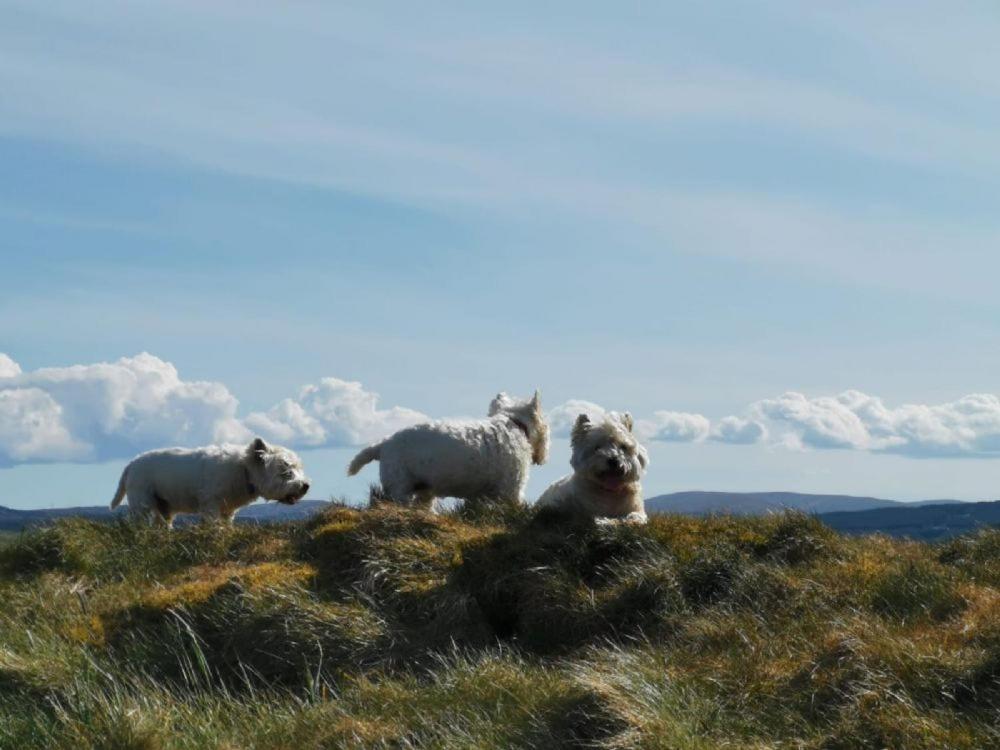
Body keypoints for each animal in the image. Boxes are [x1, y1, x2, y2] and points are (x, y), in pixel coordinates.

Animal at [111, 438, 310, 524]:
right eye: (286, 471)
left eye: (299, 468)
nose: (306, 486)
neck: (243, 470)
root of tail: (130, 464)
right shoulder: (211, 504)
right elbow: (213, 526)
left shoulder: (228, 510)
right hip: (143, 503)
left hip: (163, 506)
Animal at [348, 388, 552, 512]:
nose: (543, 458)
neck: (515, 425)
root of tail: (383, 444)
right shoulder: (511, 488)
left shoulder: (477, 495)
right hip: (400, 486)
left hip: (423, 489)